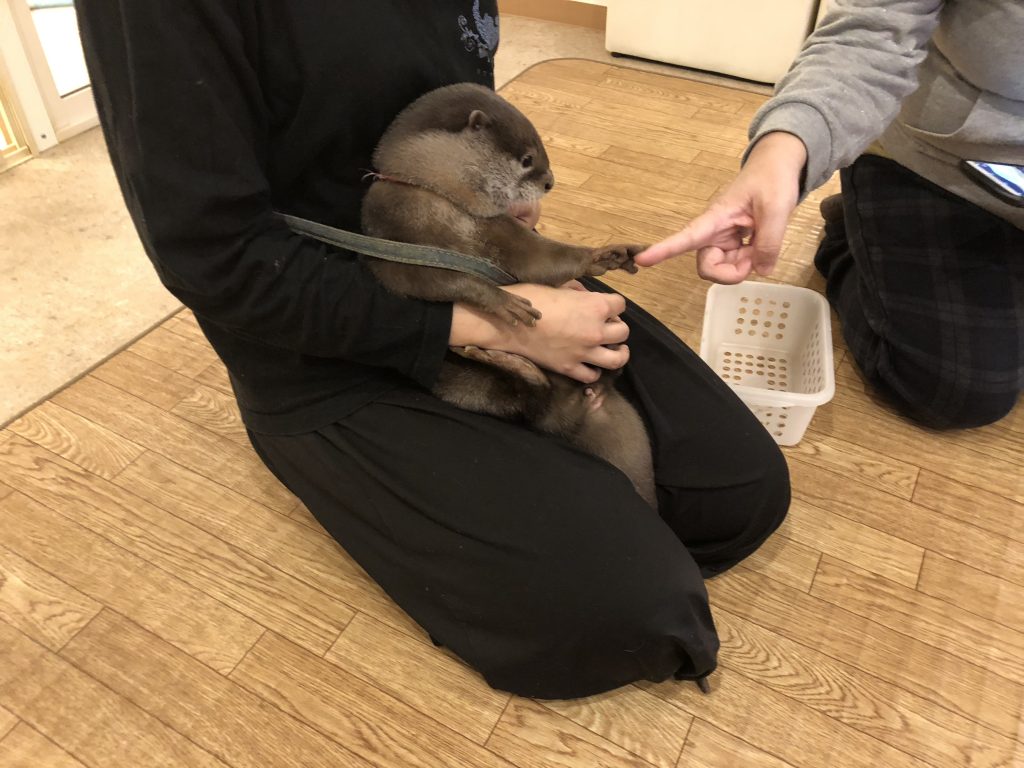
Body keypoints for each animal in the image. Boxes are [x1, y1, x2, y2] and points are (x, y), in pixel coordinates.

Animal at [364, 83, 655, 507]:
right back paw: (502, 359)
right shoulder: (392, 240)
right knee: (529, 399)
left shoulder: (501, 230)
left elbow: (544, 261)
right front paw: (502, 301)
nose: (550, 182)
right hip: (467, 387)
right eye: (527, 159)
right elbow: (433, 282)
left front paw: (606, 255)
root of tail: (579, 403)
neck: (441, 204)